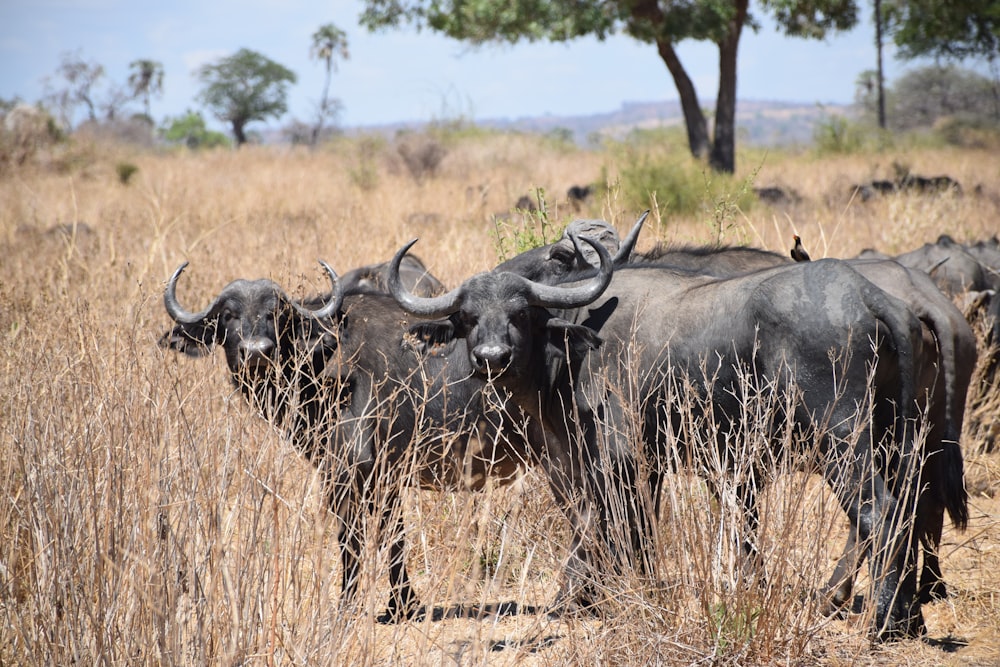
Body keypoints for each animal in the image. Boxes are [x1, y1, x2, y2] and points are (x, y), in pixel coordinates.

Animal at [390, 235, 936, 640]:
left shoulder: (615, 463)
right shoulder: (645, 467)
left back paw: (882, 622)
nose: (491, 357)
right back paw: (906, 617)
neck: (578, 344)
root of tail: (869, 295)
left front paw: (593, 598)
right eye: (467, 317)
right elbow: (638, 533)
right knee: (908, 507)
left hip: (840, 438)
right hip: (896, 437)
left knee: (878, 512)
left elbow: (611, 530)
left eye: (520, 313)